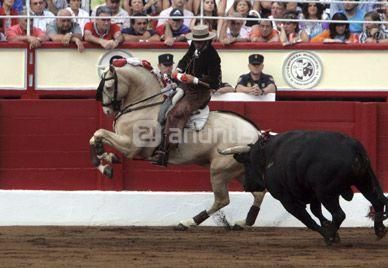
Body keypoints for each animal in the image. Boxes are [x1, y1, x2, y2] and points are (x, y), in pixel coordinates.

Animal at [89, 59, 266, 229]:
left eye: (109, 86)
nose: (106, 110)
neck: (144, 107)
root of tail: (256, 133)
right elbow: (94, 137)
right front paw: (107, 160)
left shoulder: (130, 147)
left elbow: (99, 133)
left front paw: (106, 164)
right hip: (239, 170)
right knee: (258, 193)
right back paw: (244, 222)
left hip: (219, 170)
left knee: (222, 200)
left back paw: (188, 222)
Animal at [230, 130, 388, 245]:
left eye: (247, 163)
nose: (246, 185)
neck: (266, 155)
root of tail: (353, 148)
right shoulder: (312, 195)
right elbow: (316, 212)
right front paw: (329, 228)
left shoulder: (286, 200)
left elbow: (307, 219)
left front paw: (329, 235)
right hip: (364, 180)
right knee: (377, 201)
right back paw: (379, 230)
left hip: (326, 193)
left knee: (339, 214)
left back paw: (330, 236)